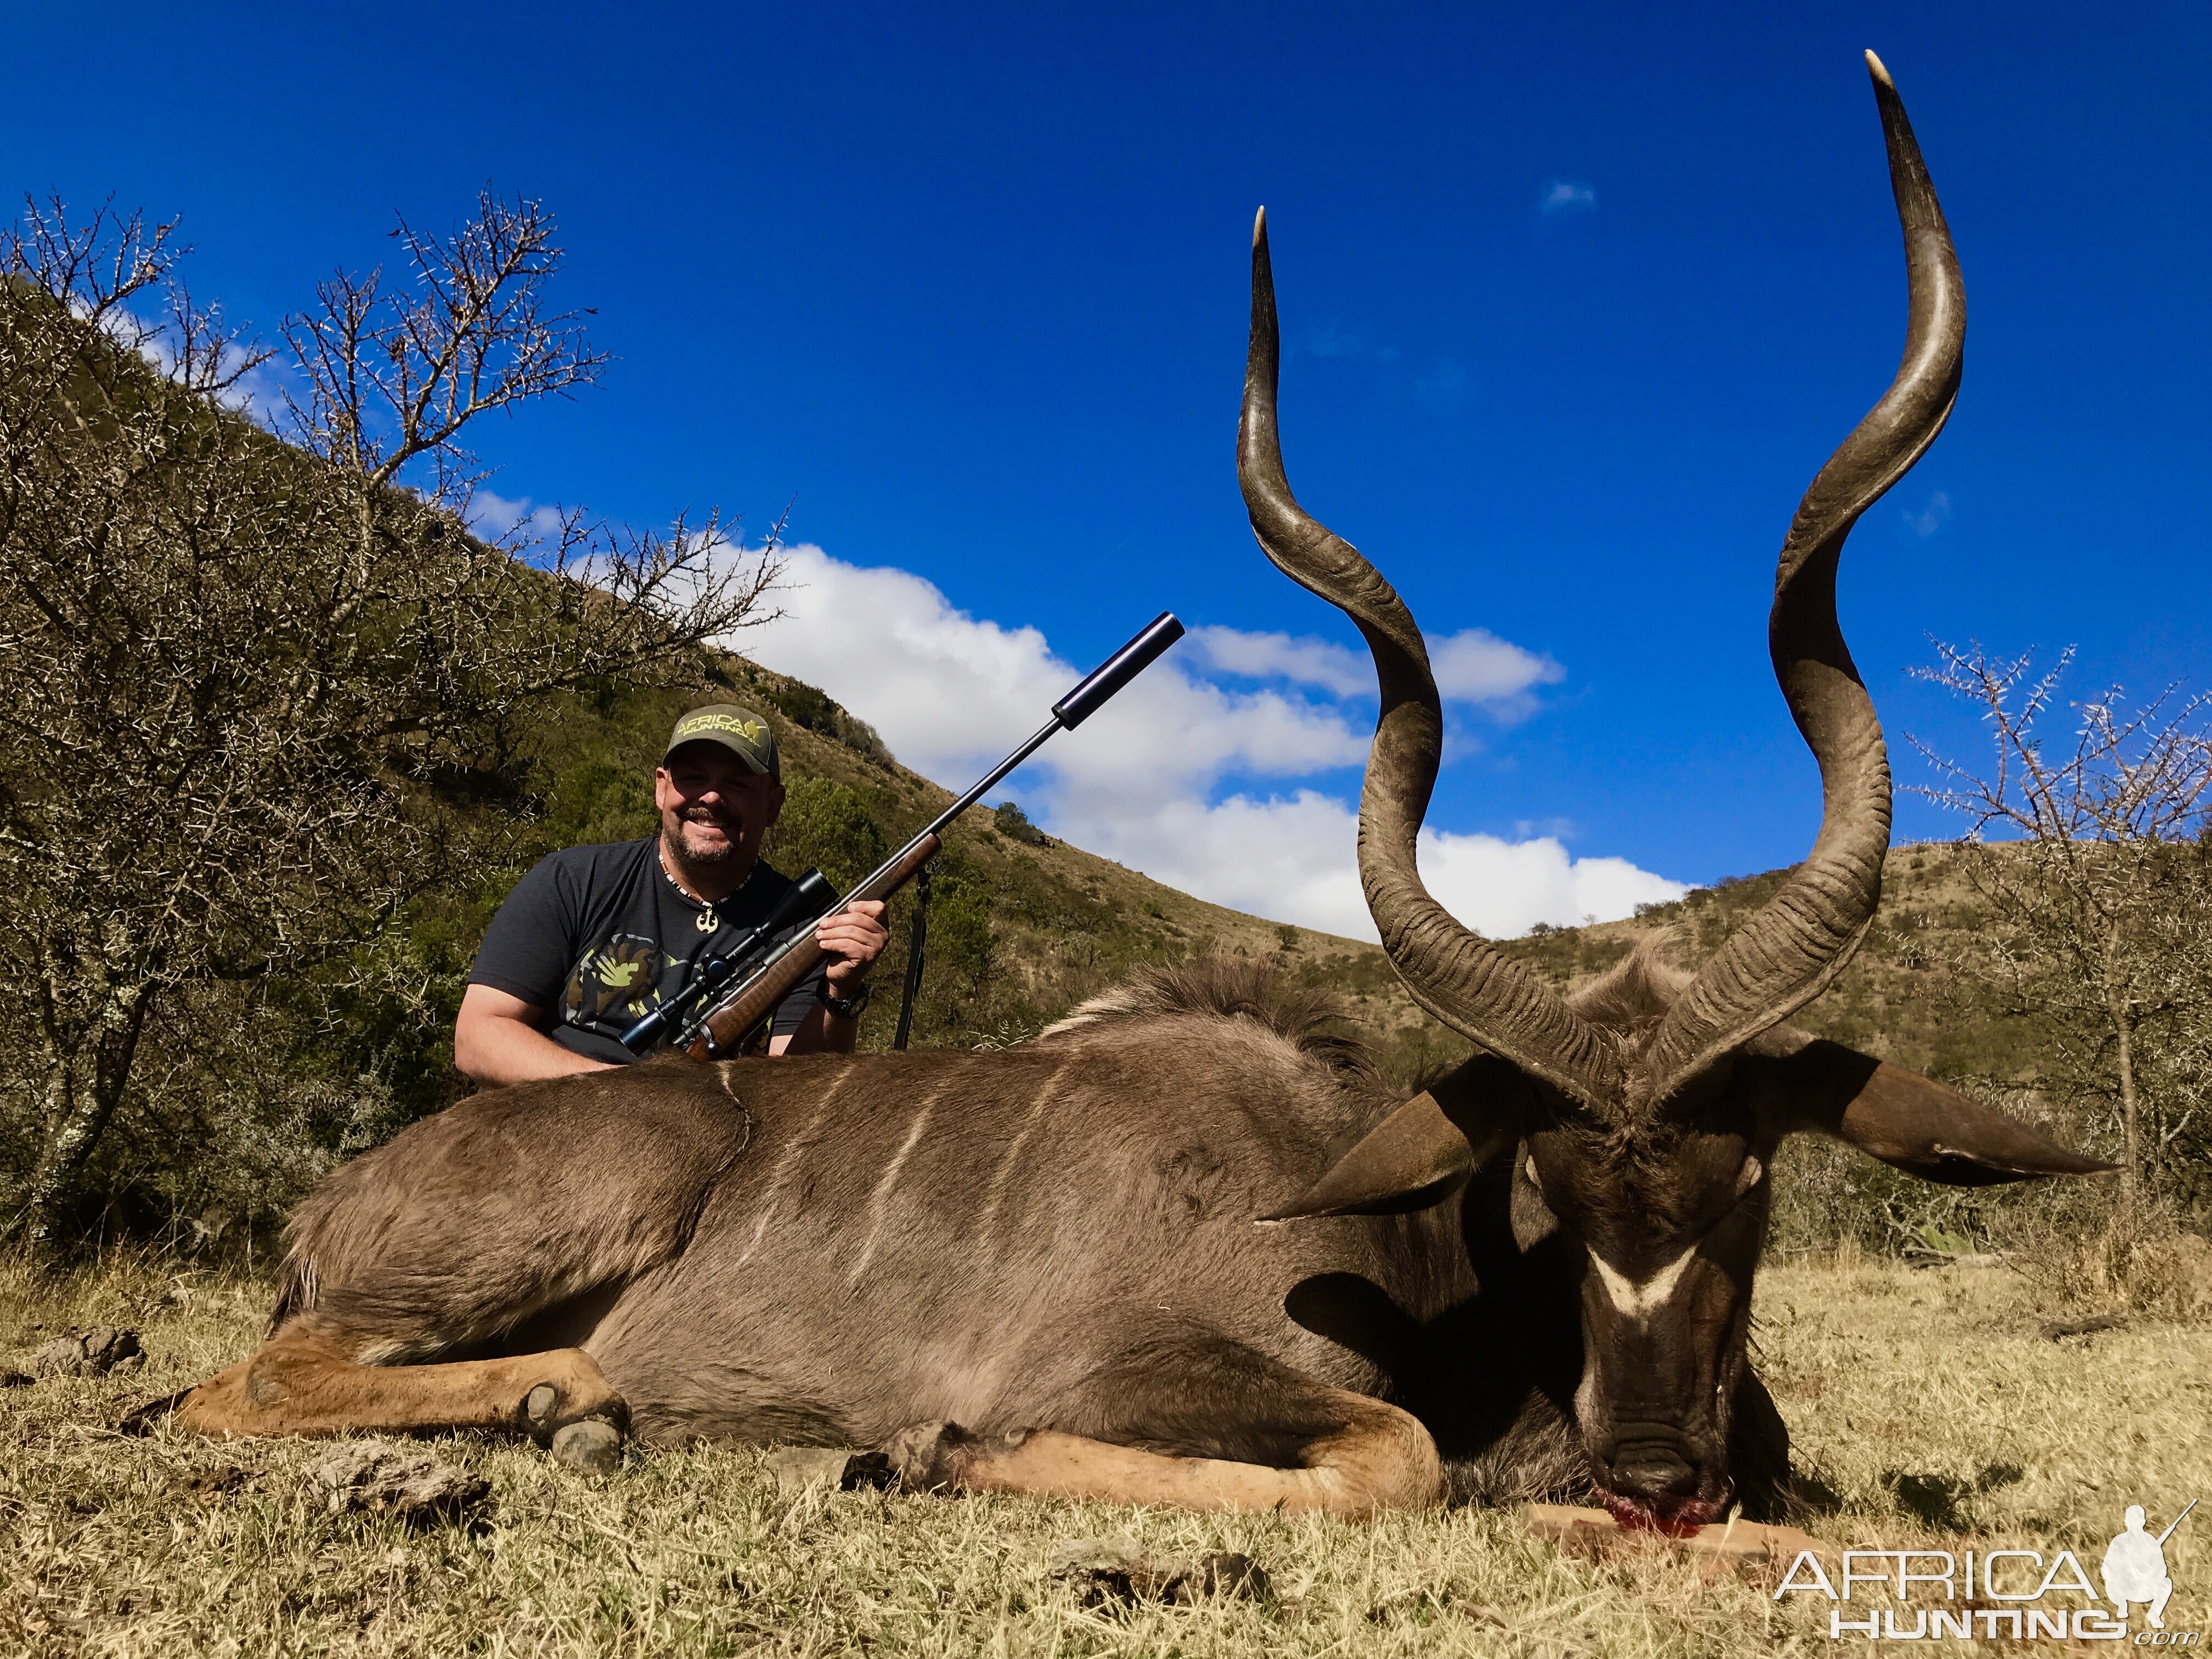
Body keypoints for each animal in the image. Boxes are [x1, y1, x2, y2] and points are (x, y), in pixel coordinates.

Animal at [151, 58, 2106, 1531]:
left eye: (1753, 1186)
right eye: (1548, 1186)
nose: (1652, 1480)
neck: (1386, 1233)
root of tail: (335, 1206)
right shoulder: (1133, 1368)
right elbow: (1386, 1456)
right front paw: (925, 1450)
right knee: (231, 1384)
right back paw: (570, 1397)